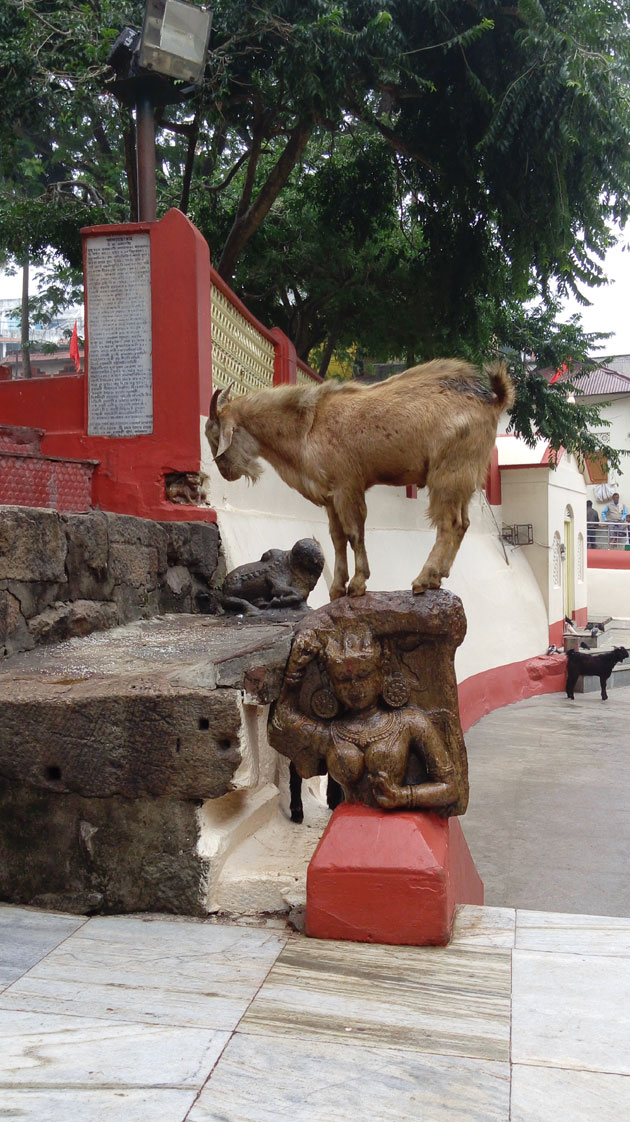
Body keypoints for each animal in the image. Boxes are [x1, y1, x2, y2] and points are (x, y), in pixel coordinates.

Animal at [204, 363, 514, 601]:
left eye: (215, 434)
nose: (224, 472)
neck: (306, 426)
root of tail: (493, 401)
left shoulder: (347, 486)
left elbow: (355, 533)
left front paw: (357, 584)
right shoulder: (330, 496)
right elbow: (337, 538)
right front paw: (336, 589)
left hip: (448, 475)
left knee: (448, 524)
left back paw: (423, 580)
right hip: (463, 480)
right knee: (462, 523)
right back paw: (439, 577)